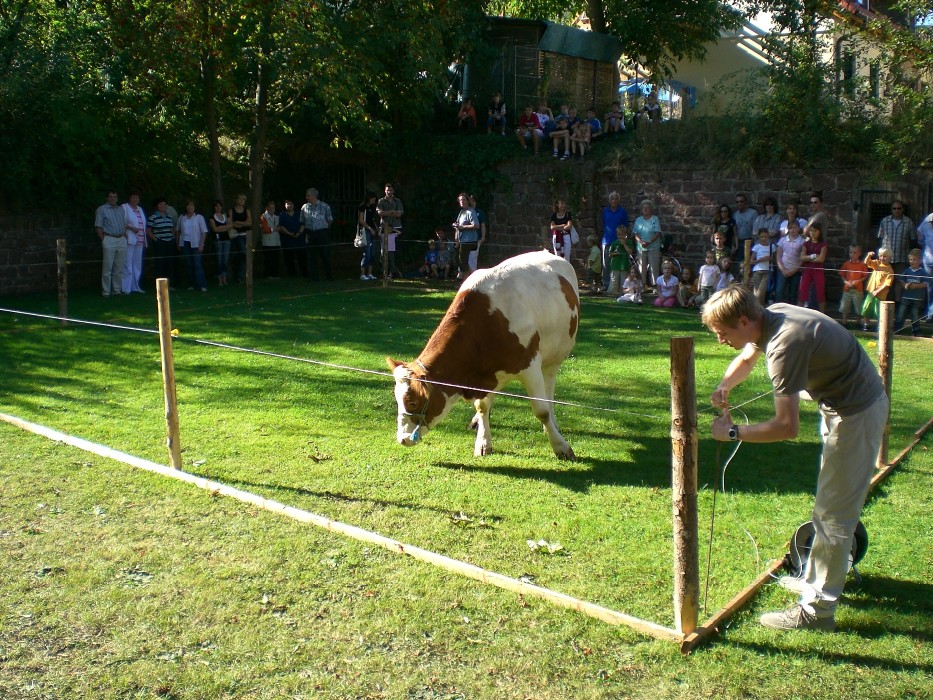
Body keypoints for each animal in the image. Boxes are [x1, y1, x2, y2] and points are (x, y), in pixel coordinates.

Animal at [387, 250, 579, 459]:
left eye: (412, 402)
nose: (403, 439)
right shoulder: (482, 373)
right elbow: (482, 406)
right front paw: (483, 442)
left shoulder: (530, 366)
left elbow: (542, 411)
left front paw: (561, 446)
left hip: (554, 358)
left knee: (549, 388)